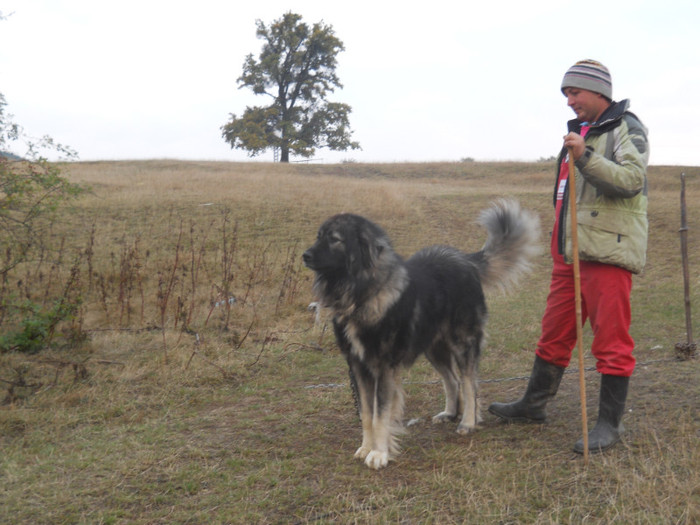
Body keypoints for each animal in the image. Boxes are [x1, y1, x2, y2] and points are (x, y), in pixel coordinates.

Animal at [302, 199, 540, 468]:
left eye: (335, 239)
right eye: (319, 236)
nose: (305, 255)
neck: (362, 294)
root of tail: (465, 260)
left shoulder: (383, 367)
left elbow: (380, 414)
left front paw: (379, 453)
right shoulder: (358, 366)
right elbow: (366, 414)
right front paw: (366, 447)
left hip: (463, 342)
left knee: (469, 383)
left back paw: (467, 422)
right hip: (433, 348)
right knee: (452, 380)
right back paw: (449, 413)